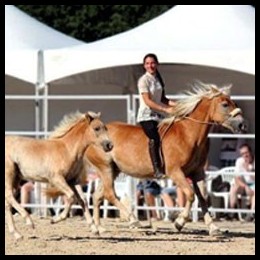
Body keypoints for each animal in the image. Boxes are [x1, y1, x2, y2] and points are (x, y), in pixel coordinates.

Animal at [5, 110, 112, 241]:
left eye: (105, 128)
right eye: (96, 128)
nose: (109, 145)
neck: (67, 149)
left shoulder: (71, 181)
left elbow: (82, 200)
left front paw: (94, 229)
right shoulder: (56, 179)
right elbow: (71, 197)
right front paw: (55, 219)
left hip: (16, 179)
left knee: (7, 202)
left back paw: (16, 233)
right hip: (9, 175)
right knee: (9, 196)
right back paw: (29, 222)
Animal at [85, 82, 246, 236]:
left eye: (234, 103)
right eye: (225, 104)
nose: (242, 125)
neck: (188, 134)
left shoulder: (197, 173)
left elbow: (202, 198)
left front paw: (213, 227)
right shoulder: (176, 172)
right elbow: (191, 195)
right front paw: (179, 222)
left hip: (112, 171)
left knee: (97, 196)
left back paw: (99, 228)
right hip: (105, 168)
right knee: (109, 194)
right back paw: (132, 219)